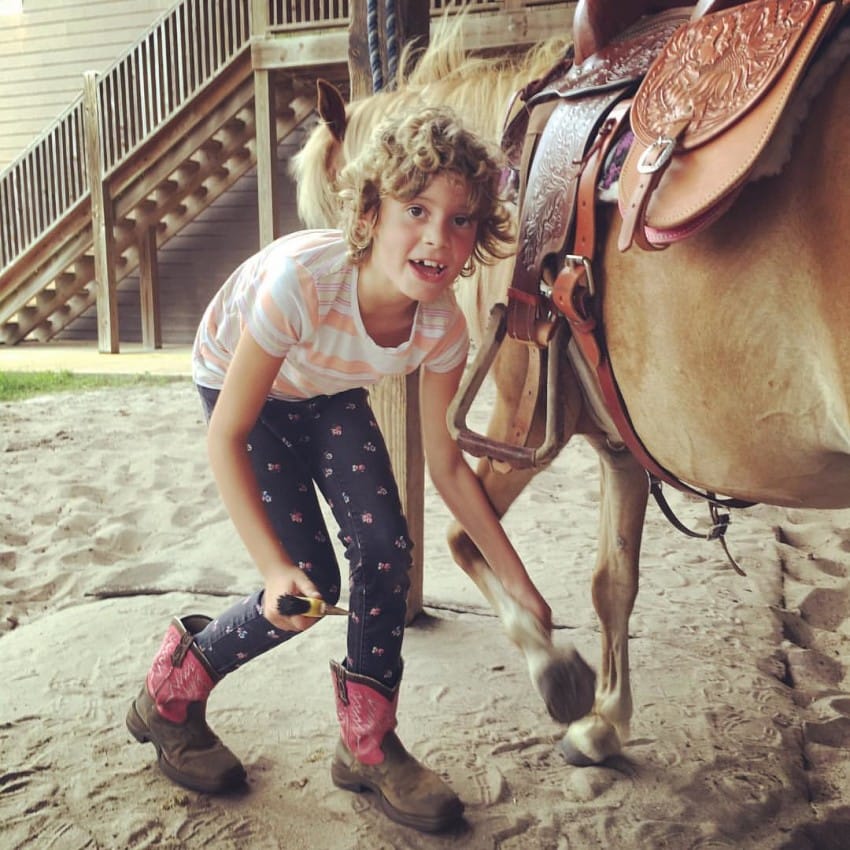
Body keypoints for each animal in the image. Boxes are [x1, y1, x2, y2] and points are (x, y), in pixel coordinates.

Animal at [290, 3, 850, 769]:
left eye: (335, 208)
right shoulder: (621, 448)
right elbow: (612, 582)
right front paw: (604, 725)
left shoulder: (517, 419)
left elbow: (467, 540)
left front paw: (557, 671)